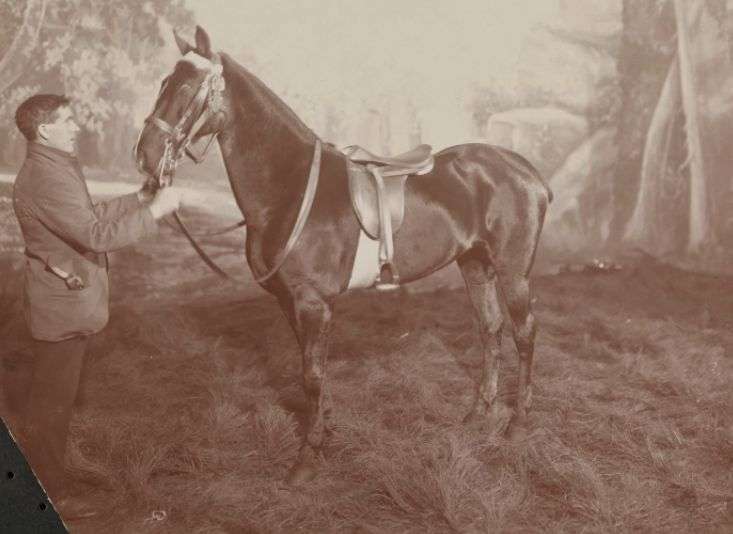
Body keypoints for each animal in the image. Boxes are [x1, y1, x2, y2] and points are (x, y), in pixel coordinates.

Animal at [135, 26, 553, 484]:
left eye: (185, 88)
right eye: (163, 82)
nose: (145, 156)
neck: (290, 187)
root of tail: (526, 171)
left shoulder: (312, 302)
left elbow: (312, 373)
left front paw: (307, 457)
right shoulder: (292, 302)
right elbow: (310, 367)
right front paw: (326, 429)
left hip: (512, 272)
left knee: (524, 333)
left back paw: (517, 423)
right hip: (475, 265)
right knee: (490, 329)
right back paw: (479, 414)